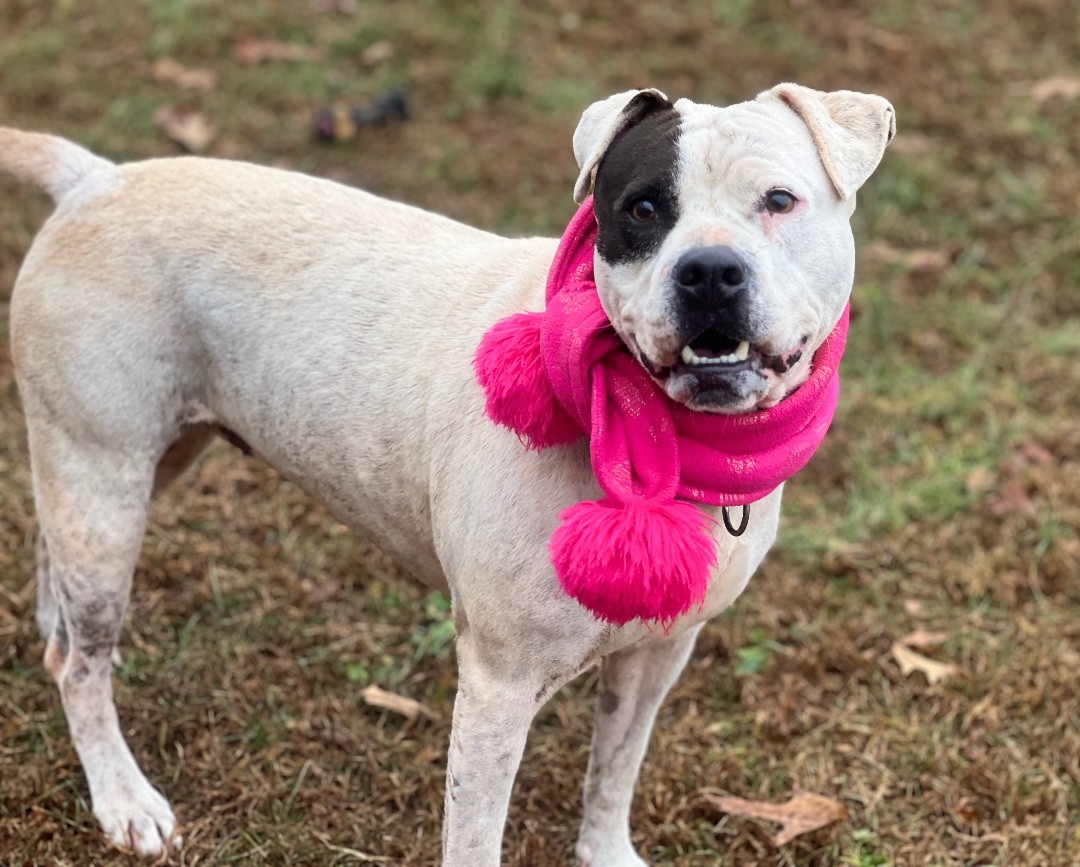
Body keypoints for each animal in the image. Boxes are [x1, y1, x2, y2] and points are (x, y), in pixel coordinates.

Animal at [0, 83, 894, 867]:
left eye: (779, 200)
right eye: (642, 210)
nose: (709, 271)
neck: (661, 441)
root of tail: (93, 178)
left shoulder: (657, 656)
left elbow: (613, 770)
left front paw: (606, 851)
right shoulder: (498, 685)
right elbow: (475, 835)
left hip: (131, 463)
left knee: (56, 557)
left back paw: (53, 626)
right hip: (107, 473)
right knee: (80, 664)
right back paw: (122, 796)